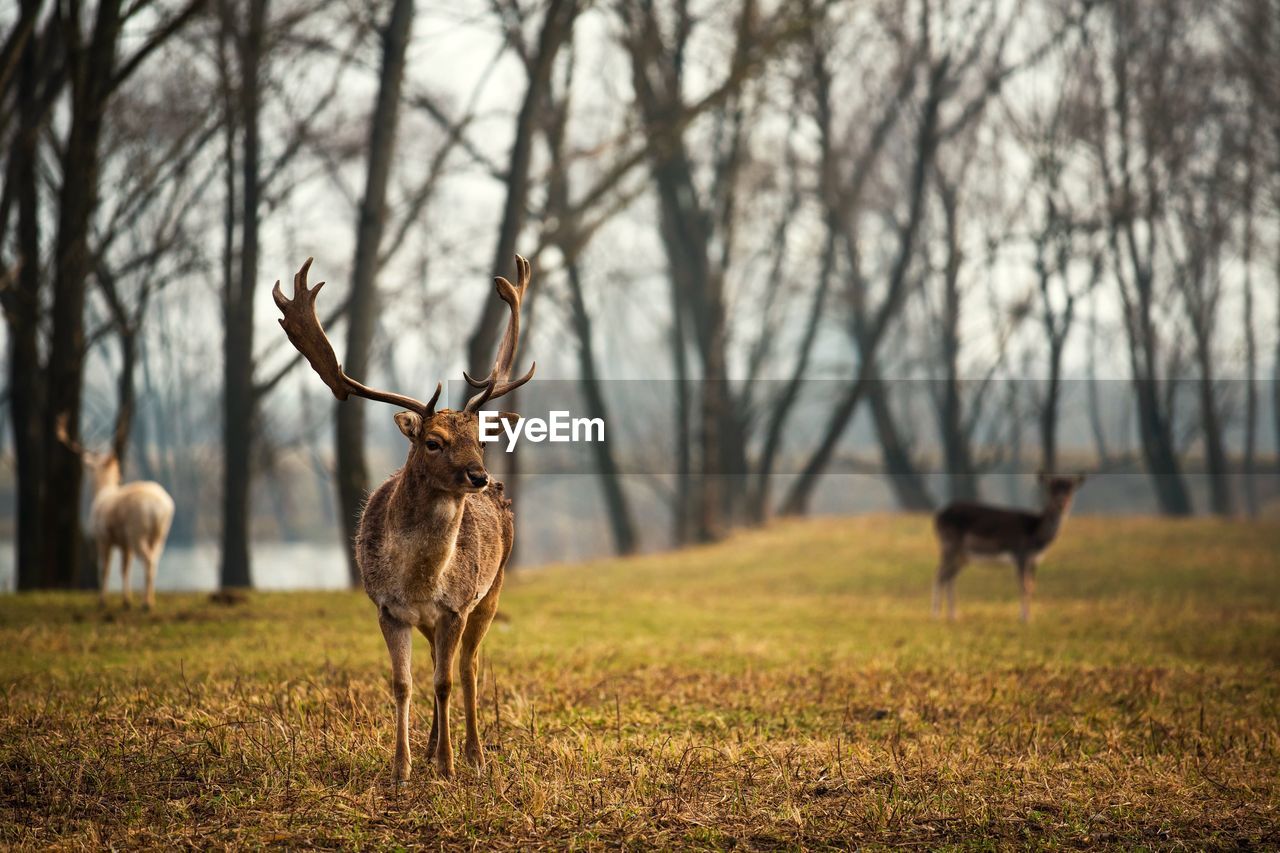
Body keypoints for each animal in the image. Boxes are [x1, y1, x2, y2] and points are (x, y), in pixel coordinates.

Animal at [56, 414, 175, 607]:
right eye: (118, 467)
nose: (120, 476)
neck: (102, 493)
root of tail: (158, 509)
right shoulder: (124, 544)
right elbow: (125, 568)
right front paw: (127, 600)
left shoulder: (103, 537)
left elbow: (105, 568)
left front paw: (103, 601)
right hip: (160, 534)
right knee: (155, 560)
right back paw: (151, 599)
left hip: (137, 532)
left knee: (148, 560)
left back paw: (146, 604)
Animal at [270, 251, 535, 778]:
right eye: (433, 442)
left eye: (479, 441)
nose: (478, 476)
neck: (419, 582)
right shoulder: (388, 608)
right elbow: (403, 684)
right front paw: (402, 768)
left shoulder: (455, 606)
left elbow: (445, 682)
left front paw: (449, 767)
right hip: (434, 619)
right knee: (438, 662)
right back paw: (432, 748)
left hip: (492, 589)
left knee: (469, 668)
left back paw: (474, 755)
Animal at [931, 471, 1090, 617]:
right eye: (1051, 488)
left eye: (1071, 488)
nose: (1061, 503)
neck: (1036, 535)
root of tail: (938, 516)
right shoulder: (1020, 554)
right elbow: (1024, 586)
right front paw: (1024, 618)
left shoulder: (1035, 560)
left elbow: (1032, 586)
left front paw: (1029, 616)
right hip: (949, 545)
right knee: (940, 575)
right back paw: (936, 615)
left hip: (963, 556)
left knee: (949, 576)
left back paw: (954, 615)